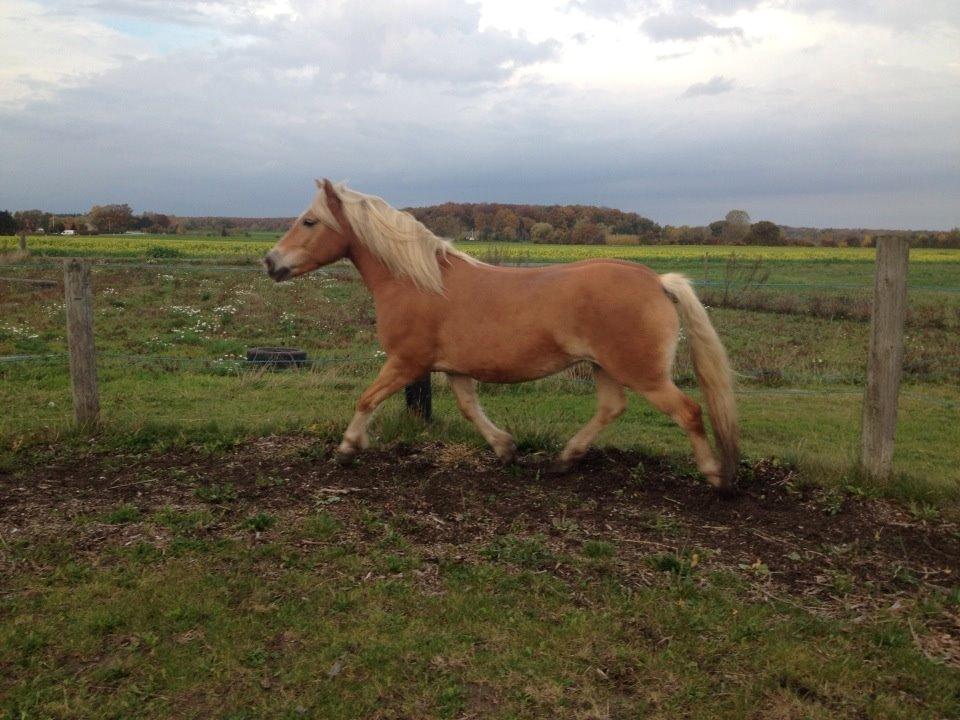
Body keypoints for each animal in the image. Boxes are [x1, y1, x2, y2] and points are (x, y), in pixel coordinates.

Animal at [266, 179, 740, 490]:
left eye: (309, 221)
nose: (270, 262)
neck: (418, 282)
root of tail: (658, 281)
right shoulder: (455, 368)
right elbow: (470, 408)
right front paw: (506, 448)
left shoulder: (406, 363)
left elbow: (367, 399)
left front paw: (347, 448)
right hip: (603, 366)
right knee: (612, 408)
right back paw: (564, 460)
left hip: (643, 373)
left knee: (689, 412)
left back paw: (716, 477)